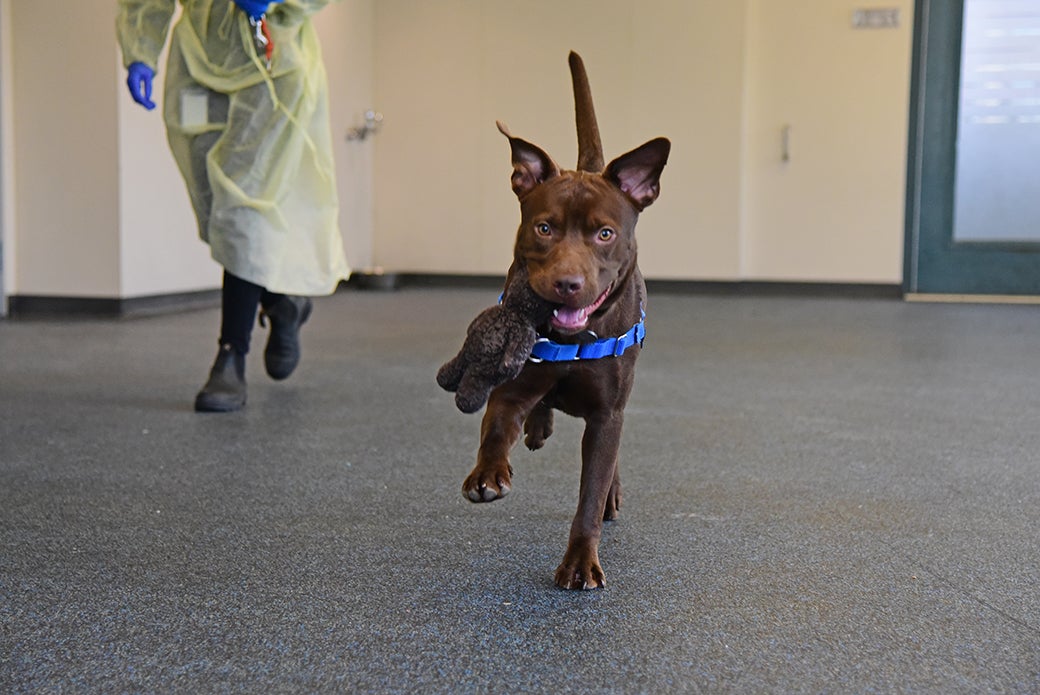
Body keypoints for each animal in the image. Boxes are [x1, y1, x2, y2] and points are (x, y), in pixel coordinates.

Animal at [460, 52, 670, 589]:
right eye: (544, 227)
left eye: (604, 233)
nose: (566, 283)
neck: (574, 336)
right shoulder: (514, 381)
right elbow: (496, 425)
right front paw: (488, 475)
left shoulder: (607, 413)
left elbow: (590, 492)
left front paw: (579, 562)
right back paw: (539, 423)